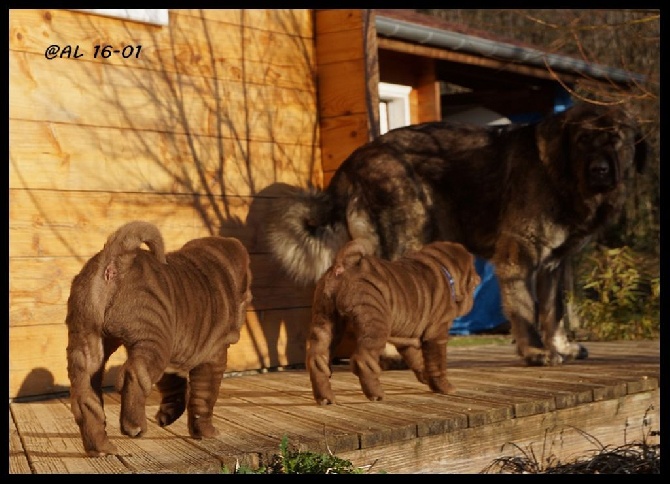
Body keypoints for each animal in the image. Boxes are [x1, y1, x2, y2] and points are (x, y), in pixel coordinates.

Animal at [65, 221, 252, 456]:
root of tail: (117, 259)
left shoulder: (173, 355)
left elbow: (175, 387)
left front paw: (167, 416)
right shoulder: (213, 355)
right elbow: (204, 397)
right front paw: (206, 431)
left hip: (87, 338)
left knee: (86, 396)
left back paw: (100, 447)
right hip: (153, 337)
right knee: (134, 373)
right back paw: (134, 426)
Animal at [268, 103, 652, 366]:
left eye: (616, 140)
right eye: (584, 140)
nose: (600, 170)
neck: (558, 172)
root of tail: (354, 159)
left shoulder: (553, 265)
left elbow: (553, 310)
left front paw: (561, 347)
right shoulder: (518, 256)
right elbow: (527, 309)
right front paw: (535, 351)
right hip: (410, 229)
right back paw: (394, 355)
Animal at [308, 239, 480, 404]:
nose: (479, 279)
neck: (444, 270)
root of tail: (343, 264)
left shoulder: (408, 340)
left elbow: (418, 359)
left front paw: (426, 377)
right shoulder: (437, 334)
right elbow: (437, 364)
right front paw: (445, 387)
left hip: (325, 320)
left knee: (318, 360)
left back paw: (325, 398)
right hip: (375, 323)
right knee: (363, 361)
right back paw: (376, 394)